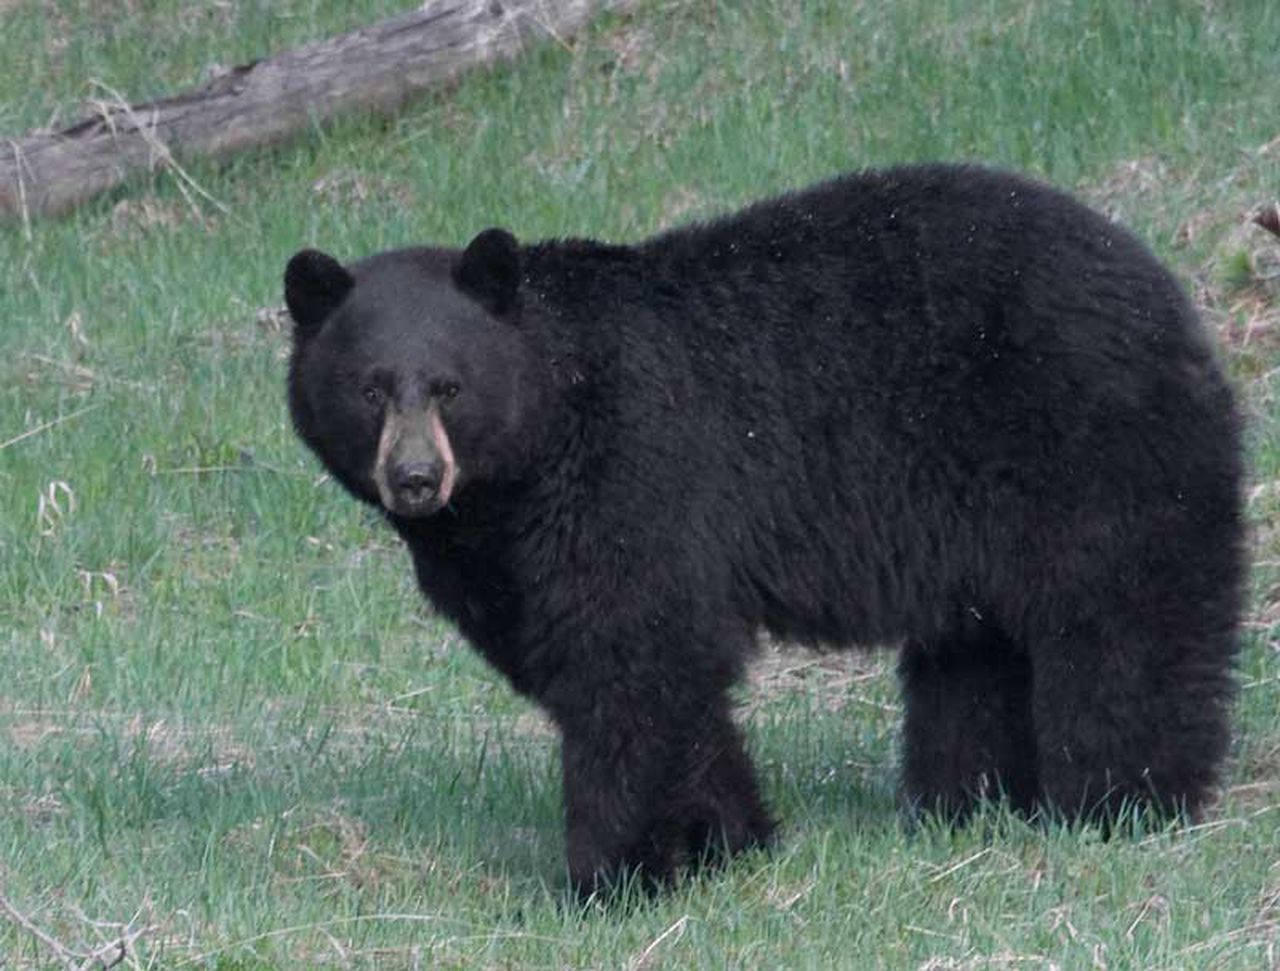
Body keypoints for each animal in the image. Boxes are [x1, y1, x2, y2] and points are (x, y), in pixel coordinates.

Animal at [285, 165, 1244, 895]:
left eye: (449, 386)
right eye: (370, 388)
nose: (416, 479)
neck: (536, 447)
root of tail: (1174, 301)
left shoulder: (631, 474)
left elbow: (633, 659)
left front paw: (608, 876)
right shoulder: (508, 552)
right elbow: (637, 673)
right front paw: (729, 842)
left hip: (1090, 451)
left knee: (1121, 629)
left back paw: (1122, 801)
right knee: (974, 656)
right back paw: (962, 805)